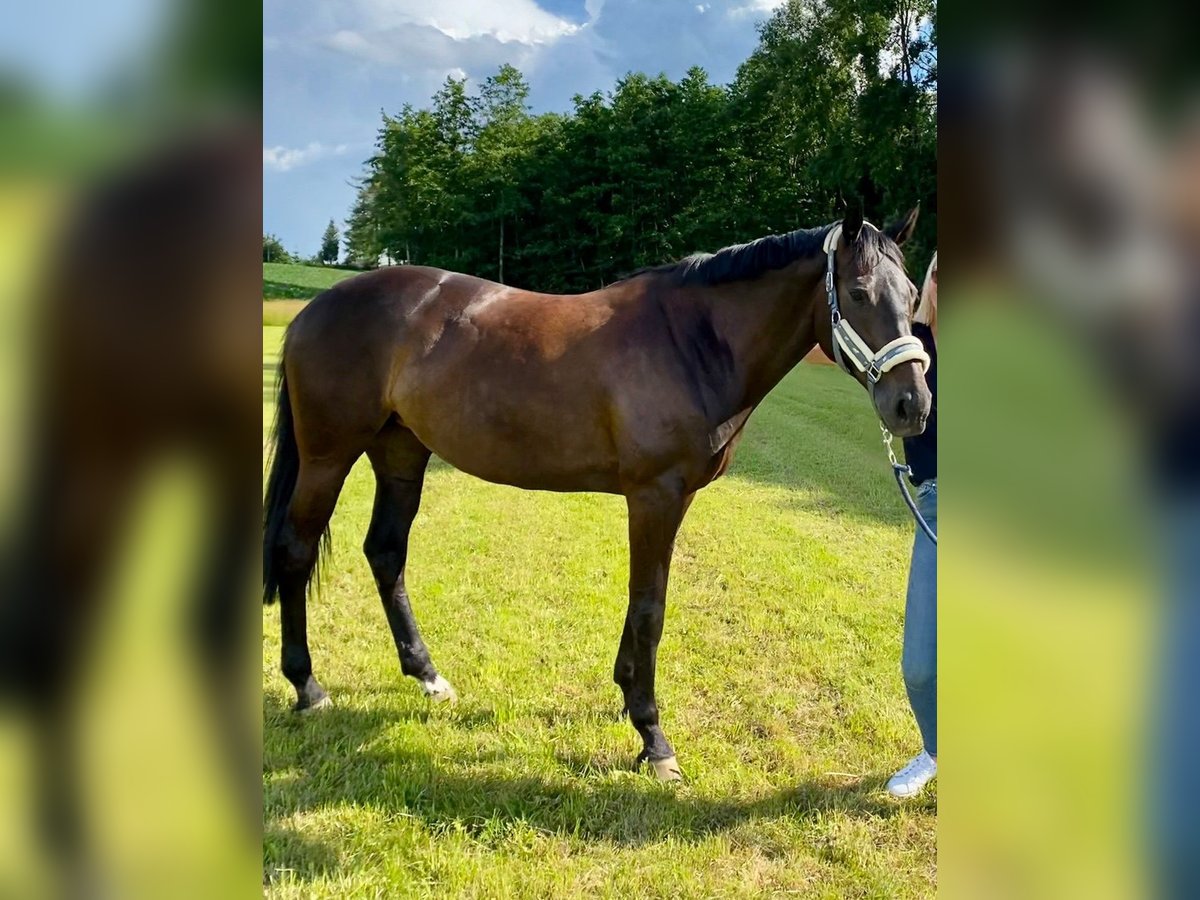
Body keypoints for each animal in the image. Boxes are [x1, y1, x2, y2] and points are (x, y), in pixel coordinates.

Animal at [267, 207, 931, 777]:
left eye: (910, 295)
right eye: (858, 293)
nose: (912, 405)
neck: (690, 341)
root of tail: (311, 310)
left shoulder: (667, 499)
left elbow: (642, 604)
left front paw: (626, 696)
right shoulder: (655, 496)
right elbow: (650, 607)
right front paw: (653, 738)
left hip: (401, 455)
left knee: (386, 554)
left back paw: (428, 676)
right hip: (328, 458)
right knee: (295, 553)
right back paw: (308, 687)